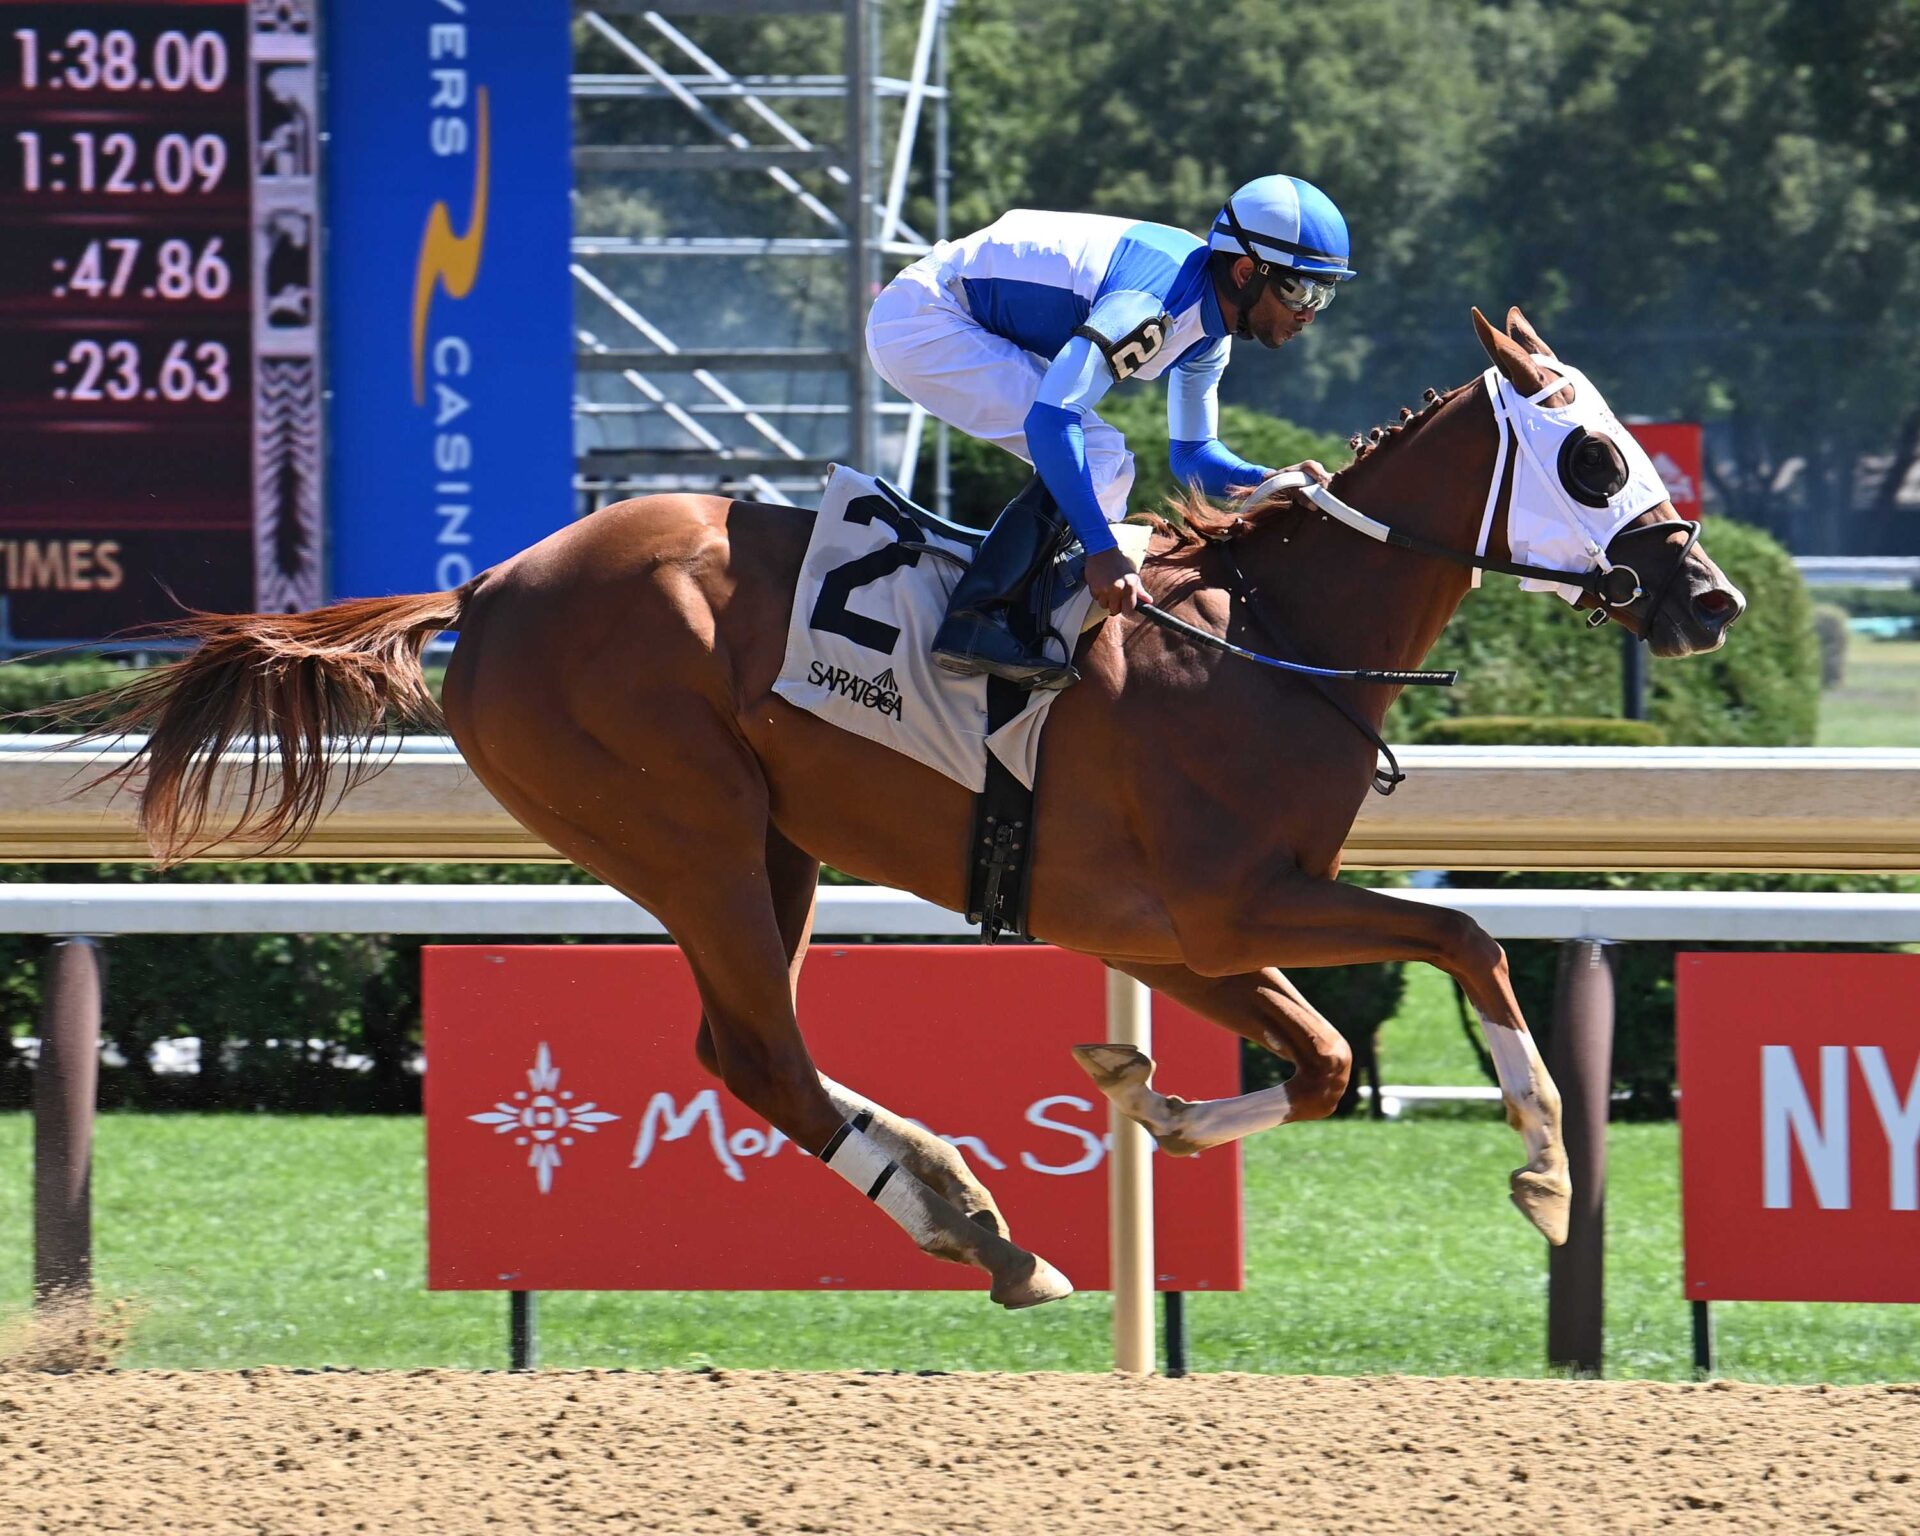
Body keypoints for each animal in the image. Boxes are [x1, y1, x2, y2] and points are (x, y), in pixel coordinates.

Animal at [88, 307, 1745, 1309]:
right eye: (1593, 454)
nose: (1712, 600)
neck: (1262, 640)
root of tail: (486, 589)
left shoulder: (1169, 932)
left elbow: (1330, 1058)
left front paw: (1152, 1099)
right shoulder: (1234, 900)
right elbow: (1466, 938)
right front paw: (1547, 1161)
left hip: (772, 848)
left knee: (746, 1053)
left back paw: (976, 1212)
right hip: (685, 830)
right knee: (762, 1056)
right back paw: (967, 1222)